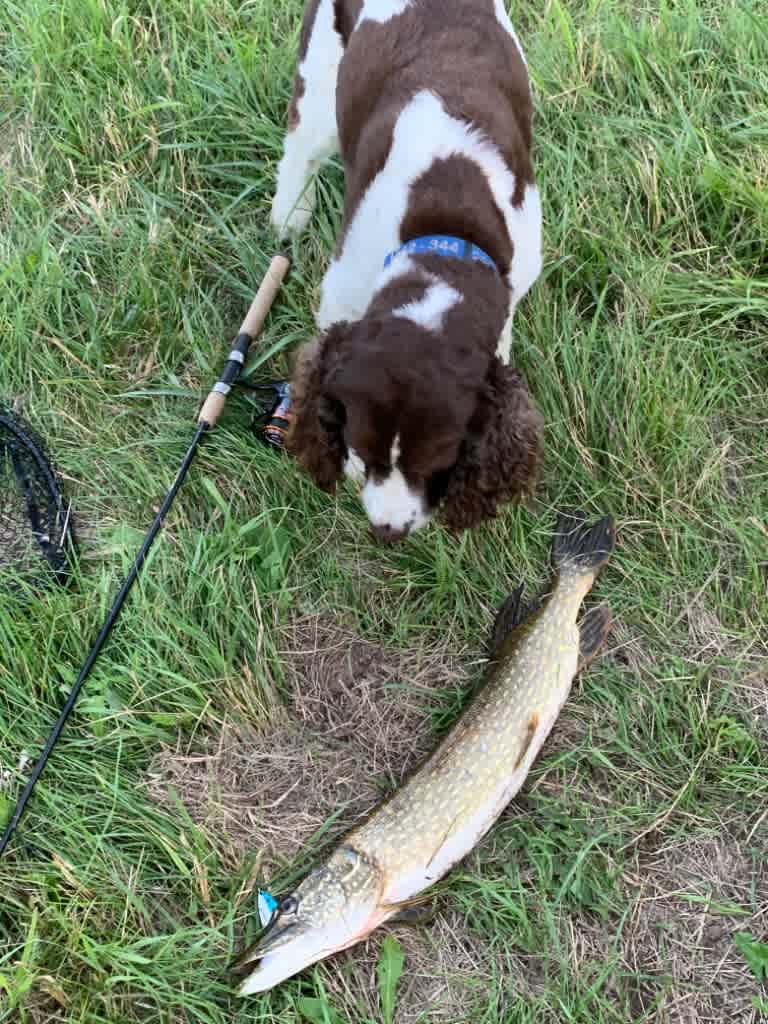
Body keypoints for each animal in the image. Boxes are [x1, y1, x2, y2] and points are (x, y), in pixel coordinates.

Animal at [274, 0, 544, 540]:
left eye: (434, 463)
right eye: (366, 451)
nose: (387, 531)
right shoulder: (342, 294)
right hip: (321, 74)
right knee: (302, 140)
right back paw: (289, 212)